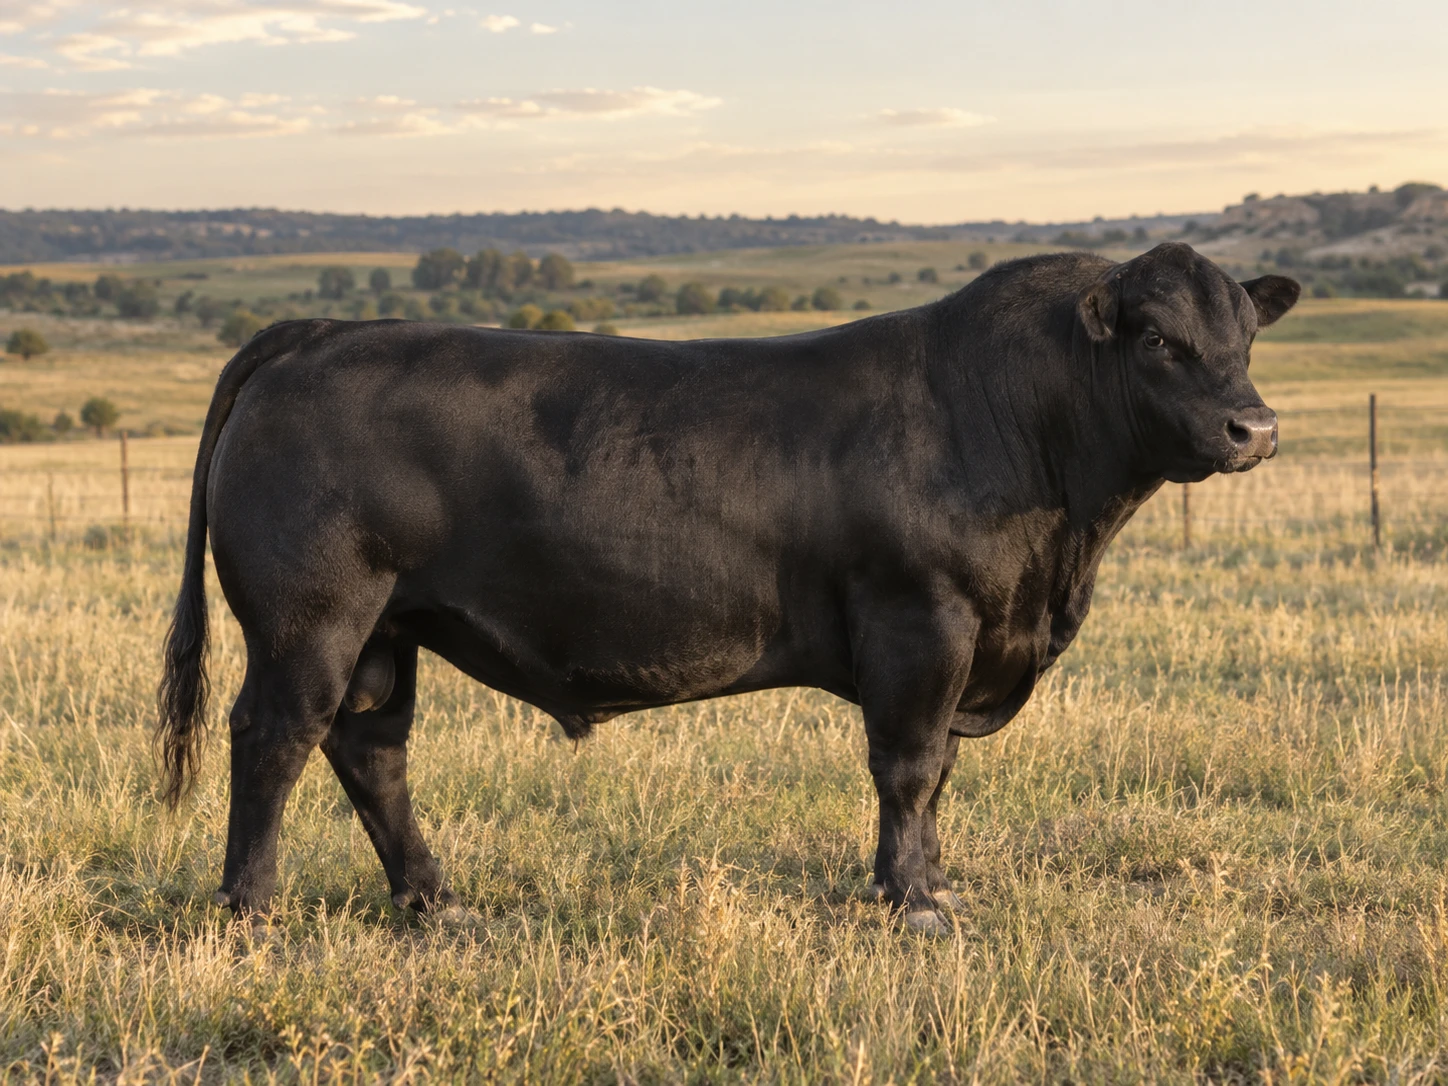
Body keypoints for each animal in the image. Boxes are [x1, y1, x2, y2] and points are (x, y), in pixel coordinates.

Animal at [157, 242, 1298, 934]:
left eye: (1245, 337)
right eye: (1157, 337)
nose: (1252, 427)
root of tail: (323, 331)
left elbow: (931, 776)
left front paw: (928, 883)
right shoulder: (920, 621)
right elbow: (909, 768)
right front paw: (913, 901)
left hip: (387, 630)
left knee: (370, 750)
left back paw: (435, 902)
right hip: (312, 619)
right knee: (273, 737)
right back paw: (250, 909)